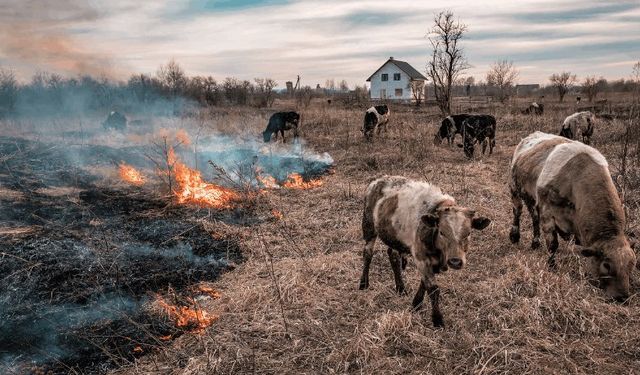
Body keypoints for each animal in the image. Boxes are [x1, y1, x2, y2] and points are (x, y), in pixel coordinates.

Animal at [360, 176, 490, 326]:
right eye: (442, 232)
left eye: (468, 233)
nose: (455, 261)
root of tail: (378, 180)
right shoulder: (421, 258)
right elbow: (433, 289)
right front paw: (437, 319)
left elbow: (424, 283)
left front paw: (416, 304)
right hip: (368, 226)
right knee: (368, 253)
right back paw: (363, 283)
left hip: (392, 235)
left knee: (393, 256)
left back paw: (400, 288)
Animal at [510, 132, 636, 302]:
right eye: (606, 265)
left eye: (632, 264)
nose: (622, 296)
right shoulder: (547, 212)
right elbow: (553, 244)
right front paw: (552, 267)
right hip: (514, 189)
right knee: (517, 211)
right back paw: (514, 235)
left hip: (531, 199)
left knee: (534, 217)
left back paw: (535, 242)